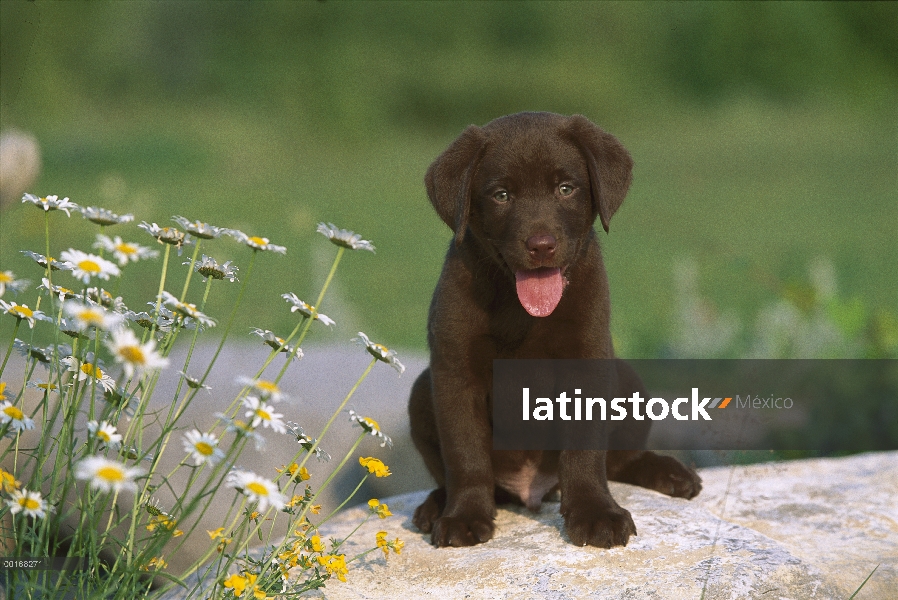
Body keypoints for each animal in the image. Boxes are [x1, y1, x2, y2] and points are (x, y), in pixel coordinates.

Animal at [408, 112, 700, 548]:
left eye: (566, 188)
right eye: (501, 195)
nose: (541, 245)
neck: (520, 308)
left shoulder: (588, 361)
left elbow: (585, 451)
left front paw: (596, 513)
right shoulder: (454, 371)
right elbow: (465, 454)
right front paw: (463, 516)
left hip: (628, 380)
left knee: (621, 461)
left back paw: (672, 473)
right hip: (420, 391)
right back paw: (435, 506)